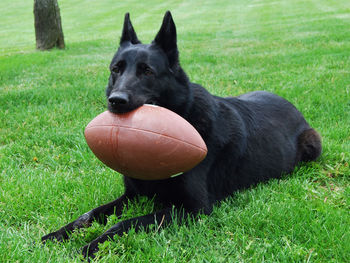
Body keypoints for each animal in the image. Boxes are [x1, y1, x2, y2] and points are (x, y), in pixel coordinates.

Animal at [41, 11, 320, 258]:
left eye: (147, 71)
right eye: (115, 69)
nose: (116, 101)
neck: (183, 113)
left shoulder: (193, 209)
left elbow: (125, 223)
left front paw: (91, 246)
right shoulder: (131, 195)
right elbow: (88, 215)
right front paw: (58, 234)